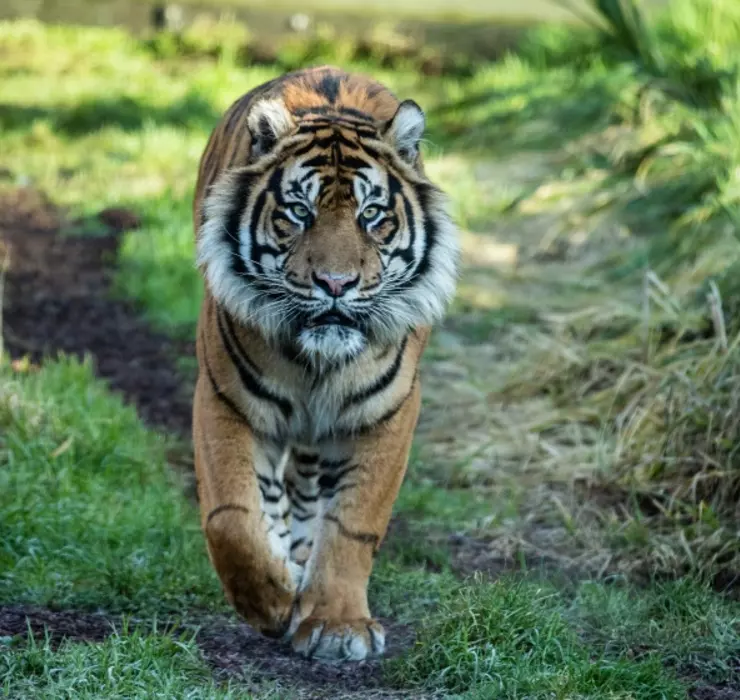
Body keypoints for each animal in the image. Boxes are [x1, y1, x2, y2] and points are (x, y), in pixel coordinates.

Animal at [191, 67, 456, 660]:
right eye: (298, 212)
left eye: (371, 215)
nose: (336, 284)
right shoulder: (224, 398)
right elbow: (232, 519)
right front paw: (271, 601)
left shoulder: (387, 412)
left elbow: (353, 523)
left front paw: (336, 624)